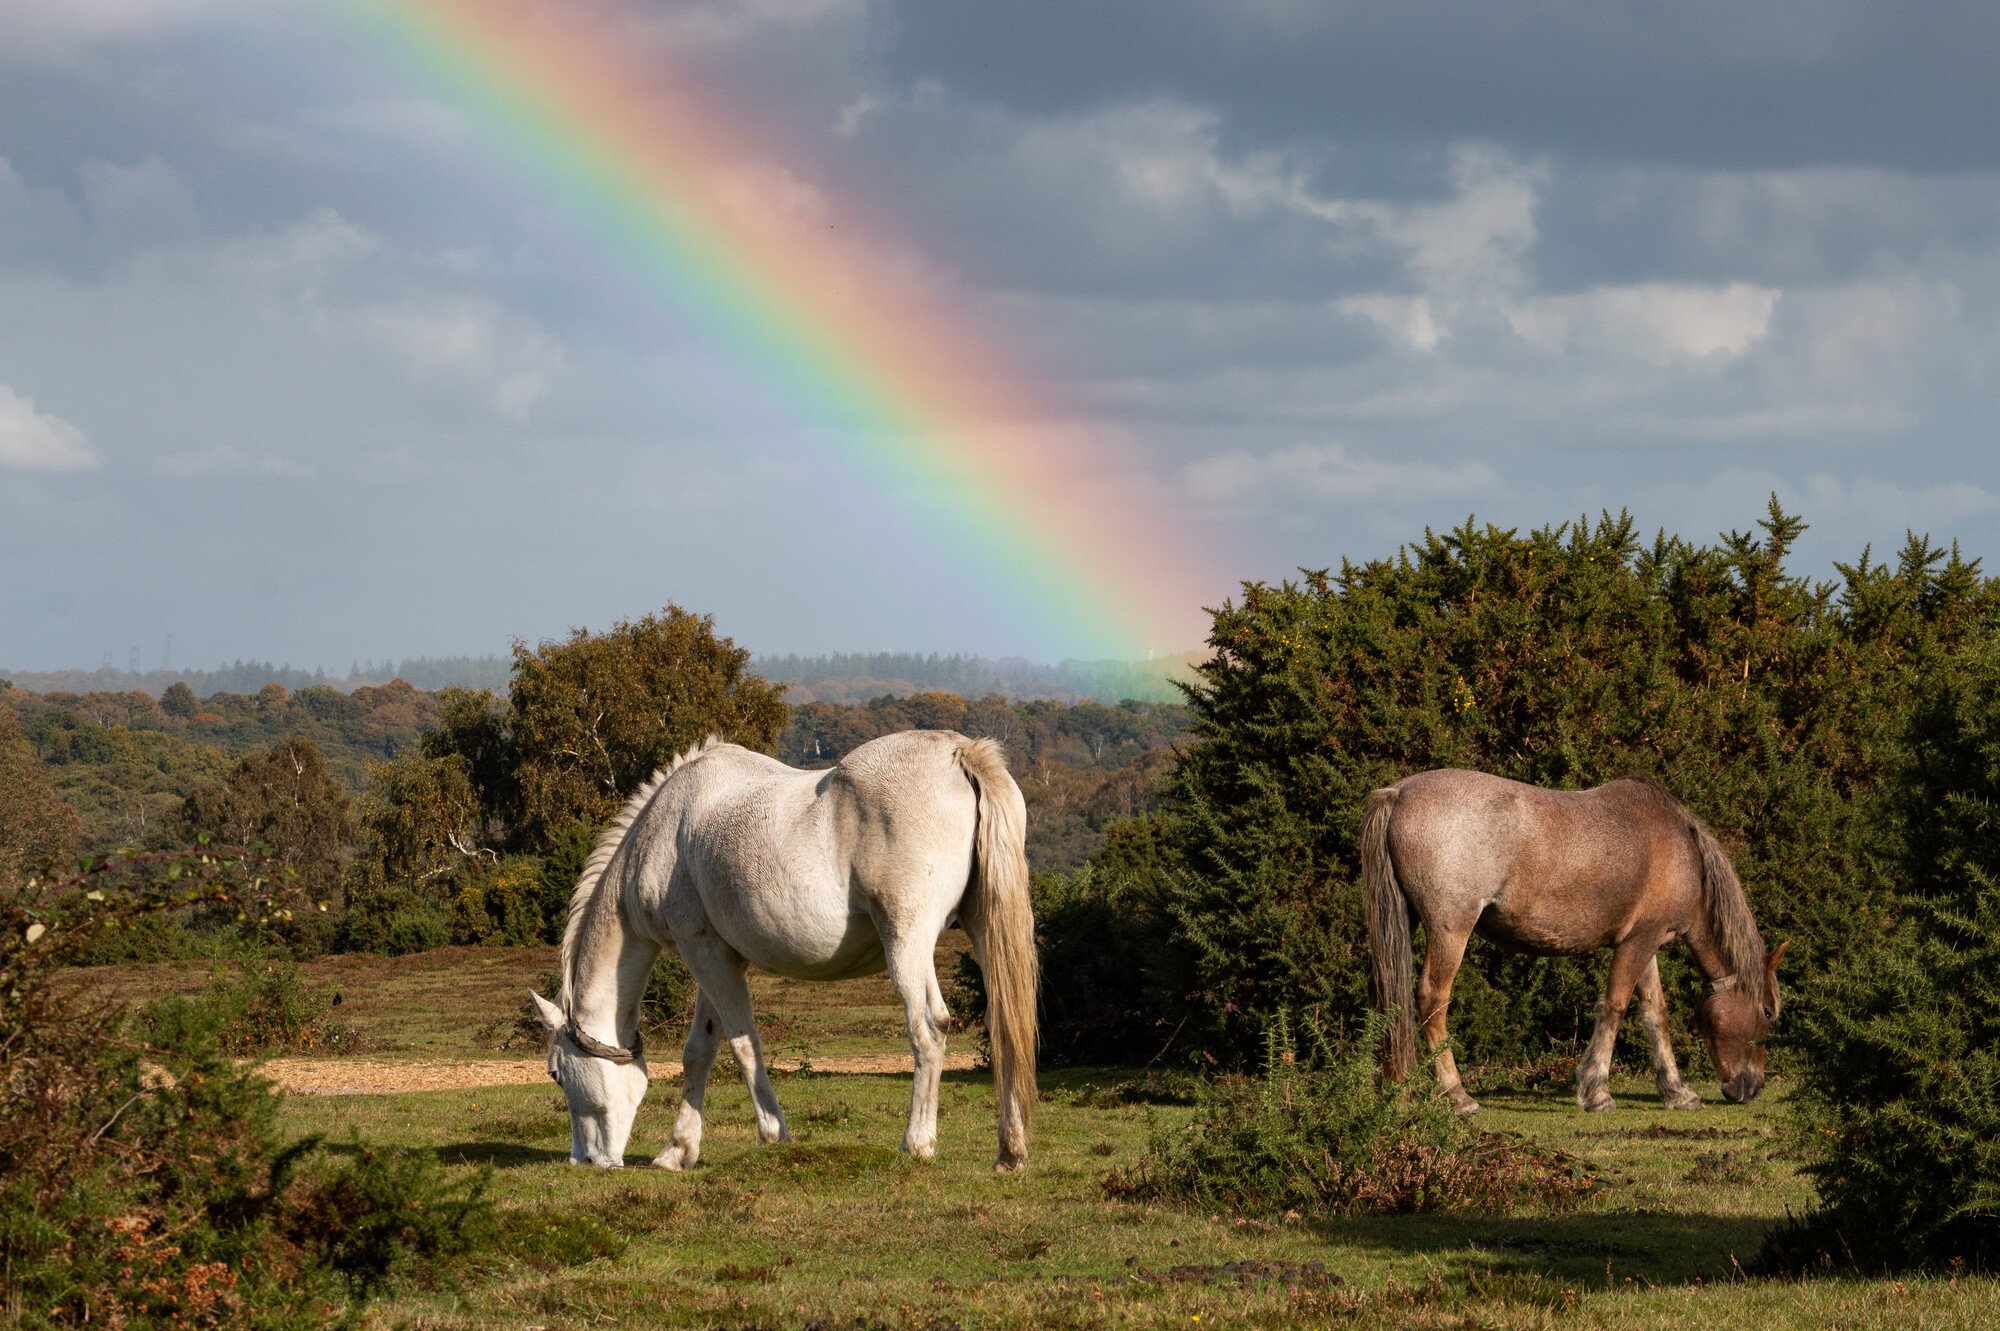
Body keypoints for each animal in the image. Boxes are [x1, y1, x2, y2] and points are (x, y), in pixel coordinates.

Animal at [526, 730, 1039, 1170]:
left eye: (556, 1074)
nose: (584, 1160)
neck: (664, 830)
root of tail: (959, 753)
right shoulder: (717, 956)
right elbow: (700, 1050)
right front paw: (677, 1151)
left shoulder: (703, 952)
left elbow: (742, 1045)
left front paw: (773, 1134)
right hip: (981, 928)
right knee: (1005, 1023)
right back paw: (1010, 1151)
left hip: (906, 939)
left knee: (928, 1026)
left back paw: (916, 1143)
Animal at [1360, 769, 1785, 1114]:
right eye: (1767, 1012)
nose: (1753, 1088)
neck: (1678, 847)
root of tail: (1398, 792)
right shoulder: (1638, 944)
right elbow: (1614, 1008)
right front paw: (1597, 1092)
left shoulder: (1643, 943)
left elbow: (1654, 1014)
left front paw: (1677, 1092)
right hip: (1451, 930)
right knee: (1432, 1000)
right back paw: (1458, 1096)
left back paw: (1397, 1094)